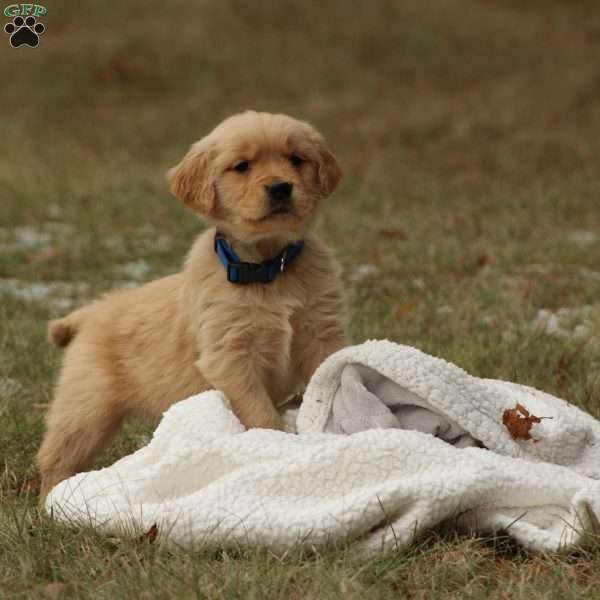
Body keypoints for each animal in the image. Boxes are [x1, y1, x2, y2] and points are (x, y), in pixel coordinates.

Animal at [36, 111, 346, 496]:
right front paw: (277, 446)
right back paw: (53, 498)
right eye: (241, 166)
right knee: (57, 455)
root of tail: (91, 311)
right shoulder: (230, 357)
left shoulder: (321, 333)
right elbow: (260, 413)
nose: (280, 188)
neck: (269, 270)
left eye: (296, 159)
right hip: (86, 406)